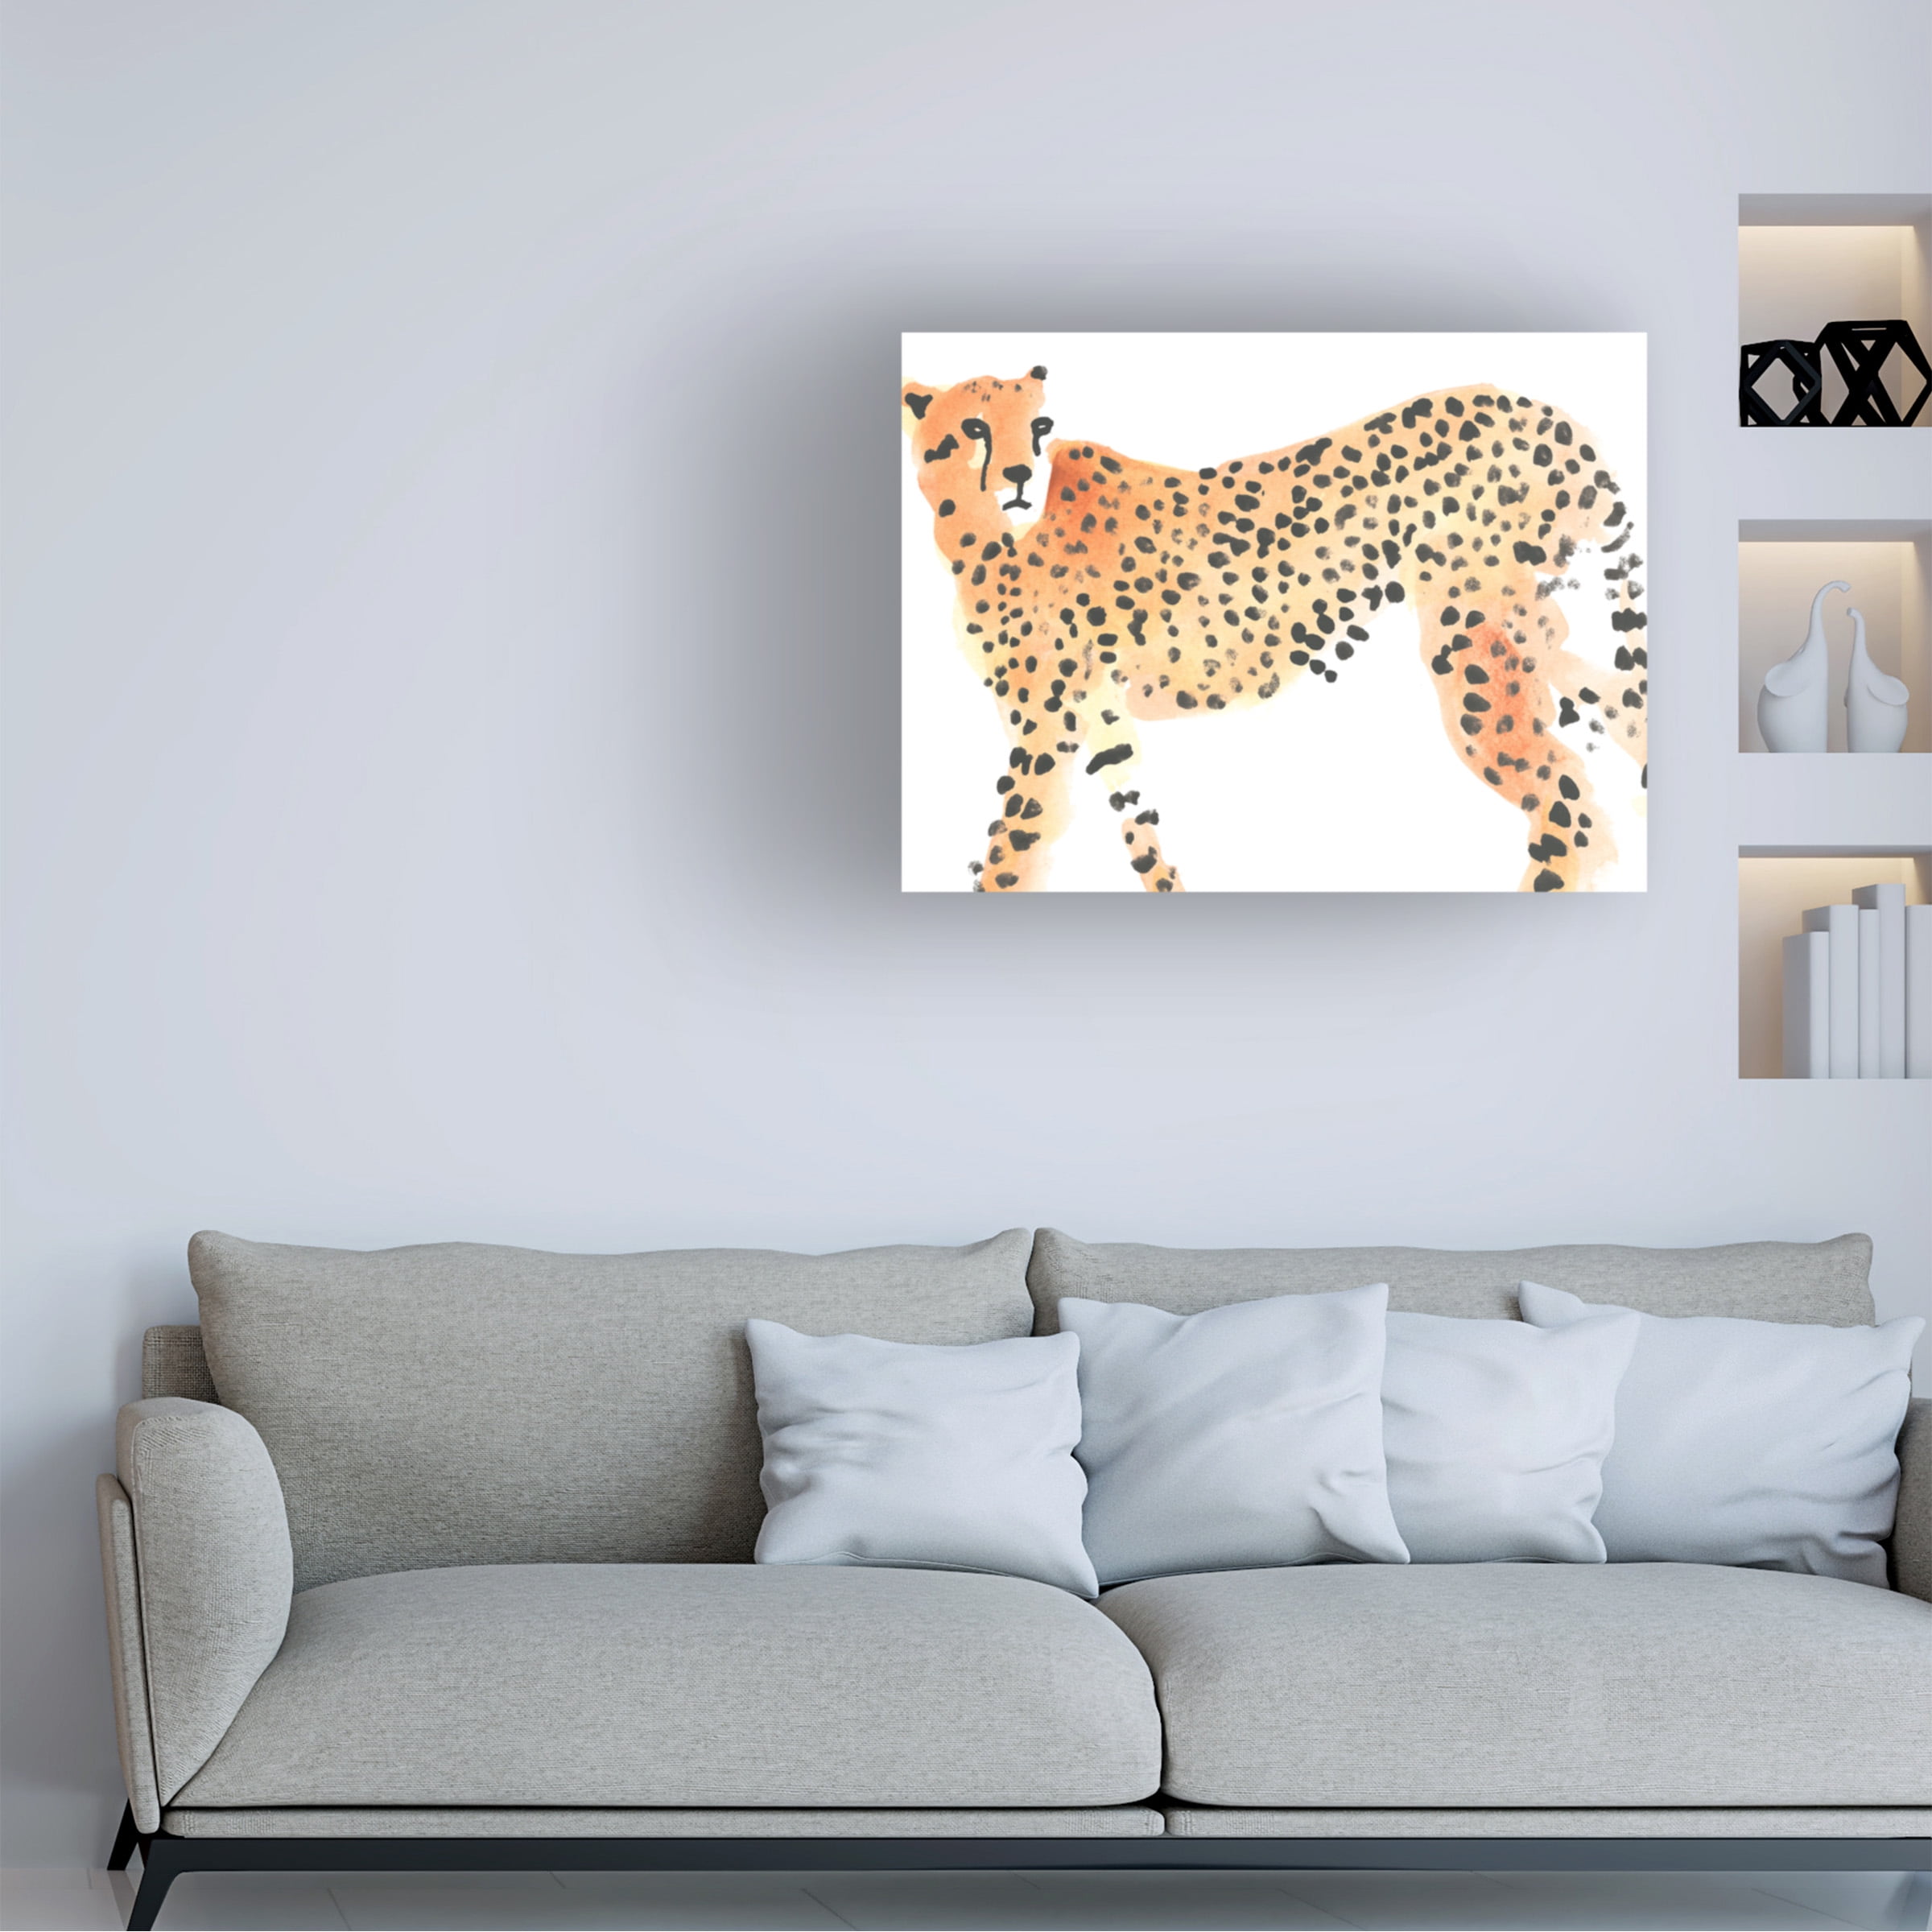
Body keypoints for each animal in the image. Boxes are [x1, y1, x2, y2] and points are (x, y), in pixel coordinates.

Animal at [901, 365, 1646, 892]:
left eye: (1041, 425)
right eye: (975, 428)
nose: (1020, 476)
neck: (984, 533)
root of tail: (1535, 407)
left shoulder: (1045, 726)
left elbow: (1013, 846)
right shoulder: (1099, 714)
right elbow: (1140, 826)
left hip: (1470, 639)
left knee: (1560, 783)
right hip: (1519, 626)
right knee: (1600, 694)